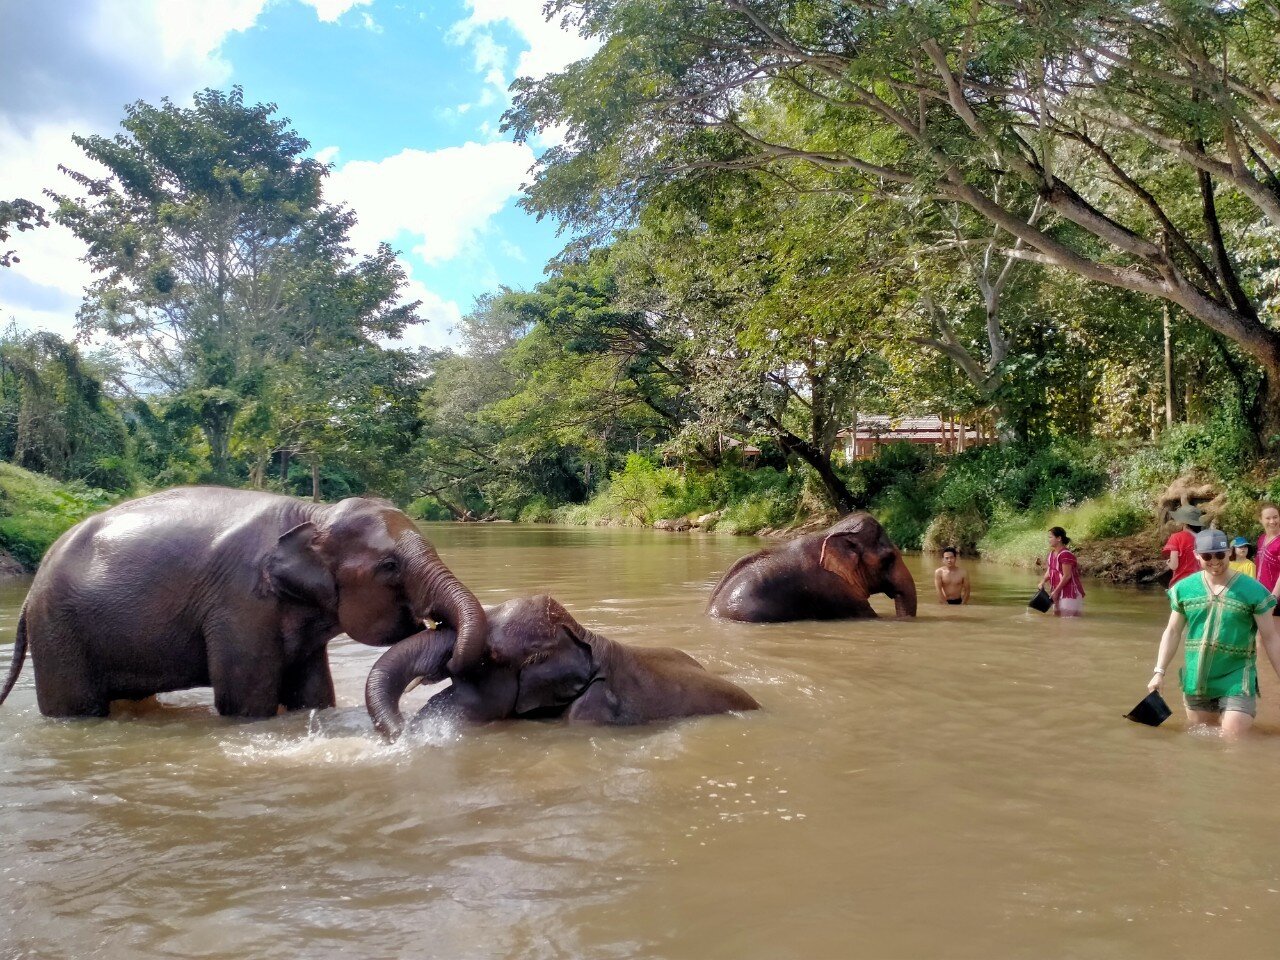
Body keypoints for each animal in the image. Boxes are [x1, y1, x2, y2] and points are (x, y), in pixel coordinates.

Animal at [0, 488, 486, 721]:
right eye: (388, 566)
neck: (314, 513)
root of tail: (30, 591)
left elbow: (314, 695)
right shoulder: (239, 604)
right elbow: (244, 703)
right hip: (58, 632)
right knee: (75, 709)